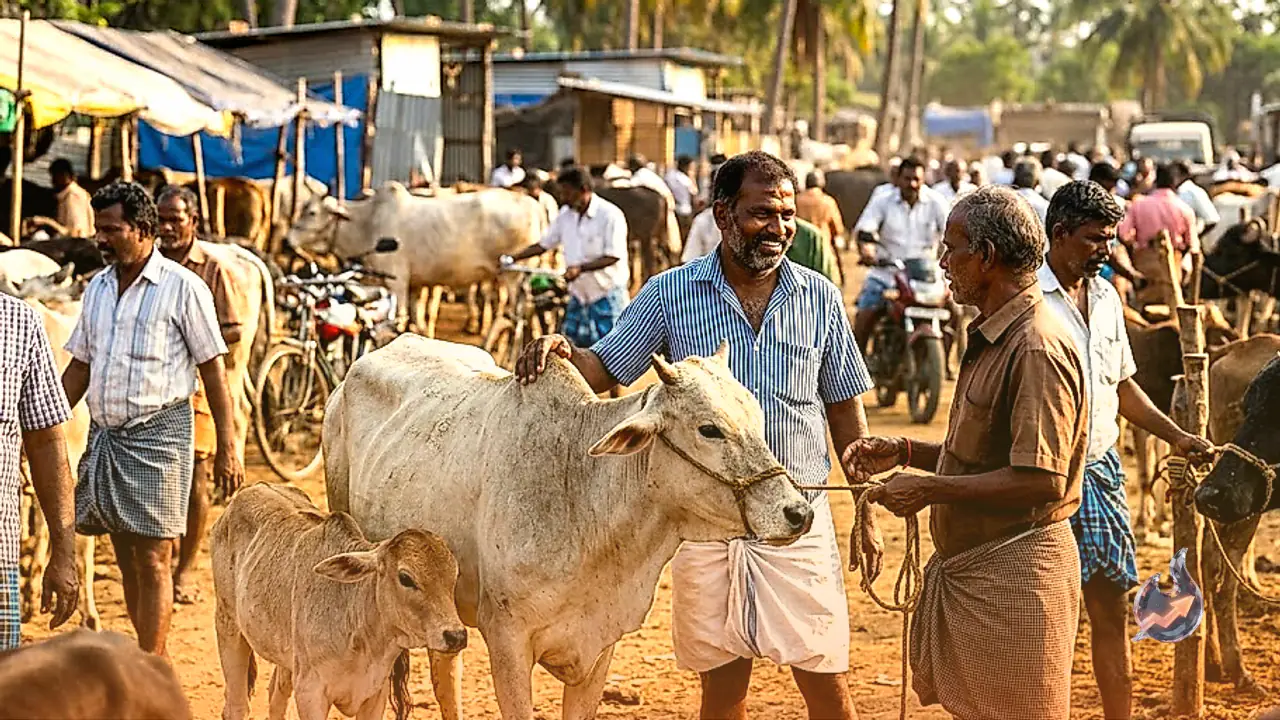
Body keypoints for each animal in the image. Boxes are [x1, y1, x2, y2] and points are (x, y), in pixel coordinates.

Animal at [210, 483, 466, 720]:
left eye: (454, 574)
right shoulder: (310, 692)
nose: (456, 635)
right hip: (228, 623)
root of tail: (249, 489)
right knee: (236, 707)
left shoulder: (375, 694)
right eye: (405, 578)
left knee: (276, 697)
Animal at [286, 182, 546, 339]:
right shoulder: (415, 285)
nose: (288, 240)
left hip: (513, 276)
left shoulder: (397, 282)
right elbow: (417, 323)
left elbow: (401, 320)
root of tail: (531, 203)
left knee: (514, 316)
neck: (365, 224)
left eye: (311, 212)